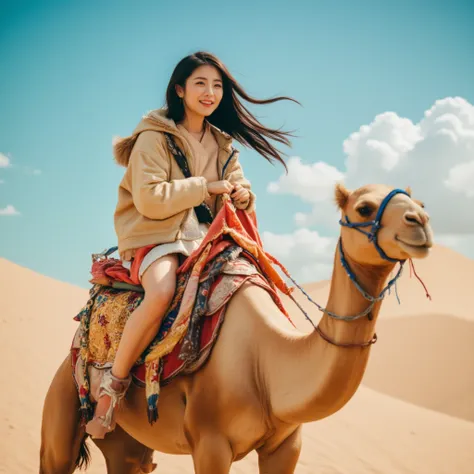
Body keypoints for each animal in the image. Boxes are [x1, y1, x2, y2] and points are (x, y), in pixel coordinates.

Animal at [40, 181, 434, 470]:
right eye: (364, 208)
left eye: (421, 204)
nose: (420, 222)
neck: (267, 364)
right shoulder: (211, 444)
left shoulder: (287, 445)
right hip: (63, 407)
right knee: (56, 453)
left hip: (129, 446)